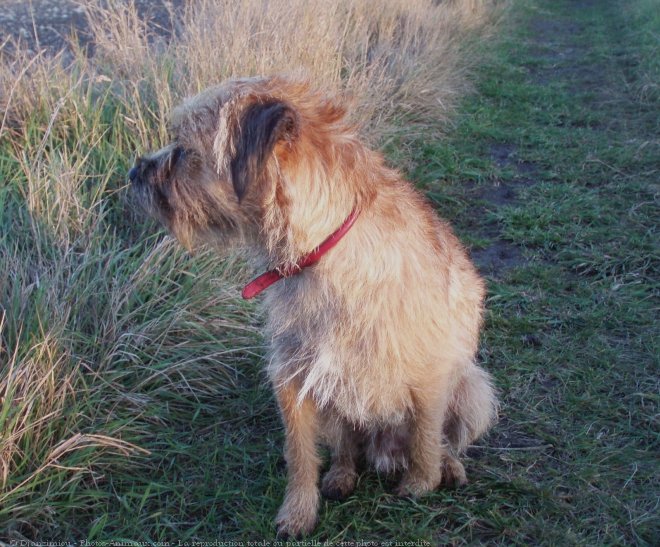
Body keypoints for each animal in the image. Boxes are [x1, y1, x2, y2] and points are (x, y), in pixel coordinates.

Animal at [127, 76, 496, 540]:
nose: (133, 172)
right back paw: (341, 475)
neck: (319, 251)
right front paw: (299, 511)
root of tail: (383, 450)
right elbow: (300, 453)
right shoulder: (293, 372)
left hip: (473, 389)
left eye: (185, 149)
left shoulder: (430, 371)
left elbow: (426, 436)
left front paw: (420, 483)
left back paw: (447, 466)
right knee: (347, 445)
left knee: (441, 437)